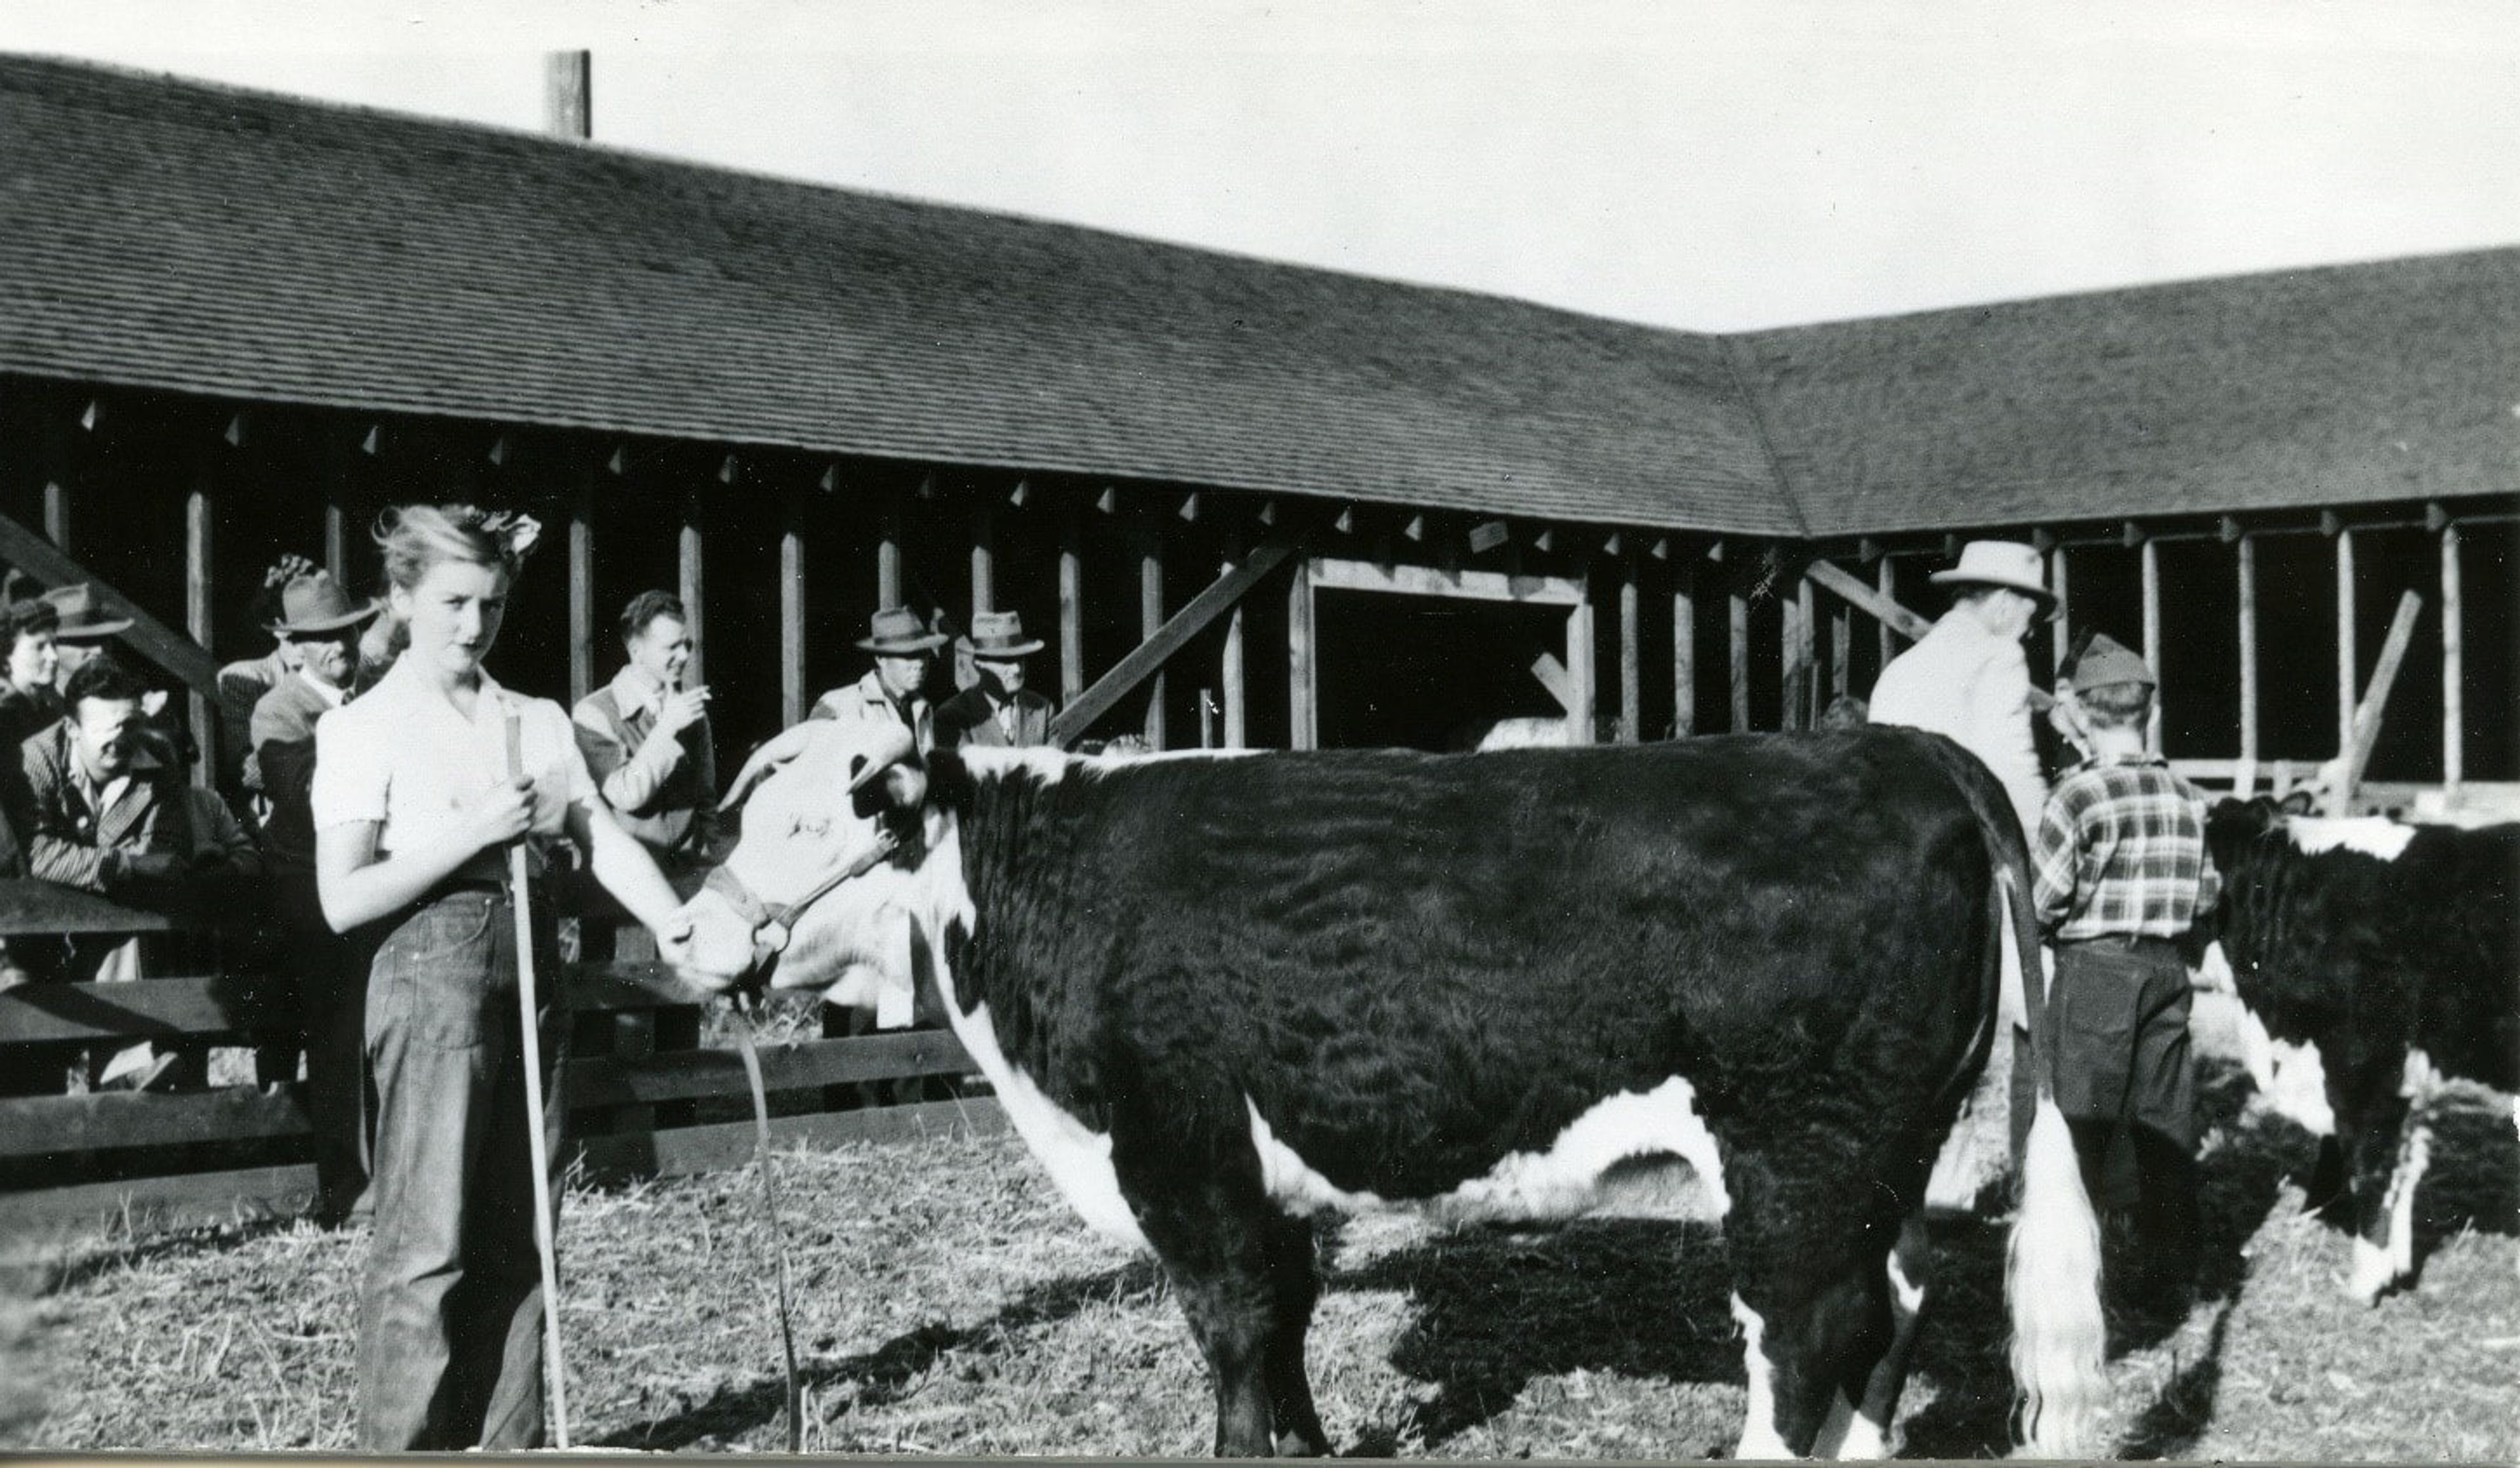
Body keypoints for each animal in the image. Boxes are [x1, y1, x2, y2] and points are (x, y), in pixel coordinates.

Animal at [675, 725, 2107, 1460]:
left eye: (808, 819)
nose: (687, 930)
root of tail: (1900, 746)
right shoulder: (1269, 1173)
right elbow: (1286, 1322)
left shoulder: (1178, 1150)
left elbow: (1232, 1328)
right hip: (1887, 1154)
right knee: (1895, 1307)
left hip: (1795, 1151)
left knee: (1811, 1327)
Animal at [2197, 801, 2510, 1299]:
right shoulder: (2407, 1084)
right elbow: (2404, 1170)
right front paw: (2393, 1269)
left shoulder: (2364, 1066)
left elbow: (2369, 1166)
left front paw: (2364, 1282)